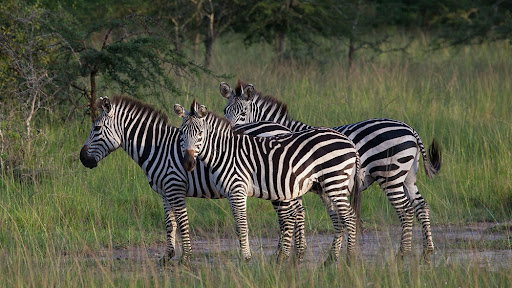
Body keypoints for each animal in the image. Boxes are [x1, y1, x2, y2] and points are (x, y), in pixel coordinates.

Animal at [78, 94, 308, 264]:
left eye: (96, 128)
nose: (82, 159)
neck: (157, 147)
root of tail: (284, 128)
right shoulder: (165, 192)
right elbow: (169, 224)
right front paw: (168, 256)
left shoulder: (175, 187)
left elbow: (182, 223)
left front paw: (186, 258)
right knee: (297, 211)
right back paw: (296, 253)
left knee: (290, 214)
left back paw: (287, 255)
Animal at [174, 99, 362, 264]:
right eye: (182, 133)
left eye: (200, 133)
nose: (188, 163)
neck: (225, 153)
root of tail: (349, 141)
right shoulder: (230, 193)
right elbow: (238, 226)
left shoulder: (237, 190)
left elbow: (242, 225)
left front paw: (246, 259)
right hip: (327, 186)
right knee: (340, 218)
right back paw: (330, 260)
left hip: (335, 180)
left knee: (349, 217)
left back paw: (350, 260)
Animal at [222, 81, 442, 264]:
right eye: (225, 111)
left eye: (243, 114)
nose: (230, 133)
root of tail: (410, 129)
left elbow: (292, 216)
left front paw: (291, 253)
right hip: (407, 176)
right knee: (421, 206)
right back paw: (427, 251)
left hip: (390, 175)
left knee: (405, 210)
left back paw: (402, 253)